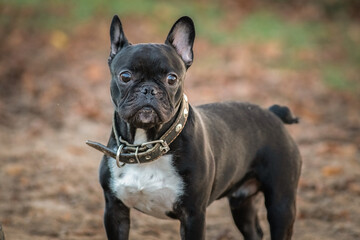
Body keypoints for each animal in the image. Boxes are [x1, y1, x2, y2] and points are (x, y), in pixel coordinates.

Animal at [89, 15, 300, 240]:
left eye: (172, 78)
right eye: (125, 76)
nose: (149, 89)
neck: (147, 143)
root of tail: (273, 113)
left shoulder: (193, 215)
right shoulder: (115, 209)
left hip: (281, 204)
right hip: (241, 203)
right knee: (253, 230)